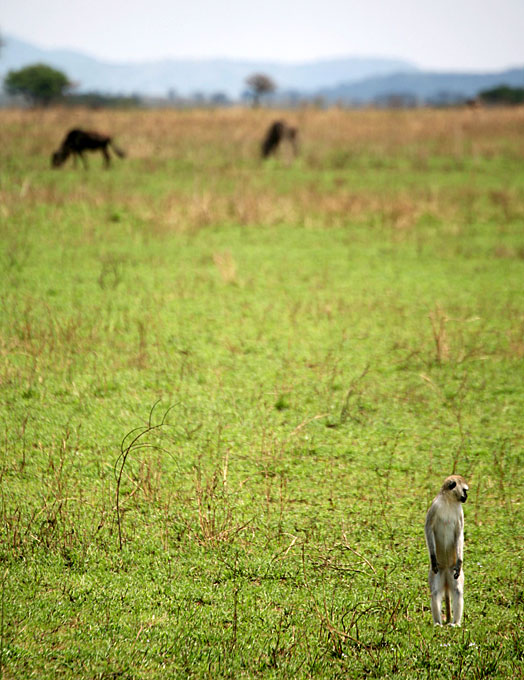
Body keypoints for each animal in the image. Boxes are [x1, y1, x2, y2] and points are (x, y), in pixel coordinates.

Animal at [424, 475, 469, 626]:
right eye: (465, 490)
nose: (466, 497)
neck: (449, 501)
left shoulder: (460, 511)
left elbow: (459, 534)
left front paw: (460, 562)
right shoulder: (434, 506)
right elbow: (428, 529)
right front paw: (433, 559)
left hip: (452, 572)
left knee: (457, 591)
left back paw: (455, 623)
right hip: (439, 573)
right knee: (435, 592)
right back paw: (438, 623)